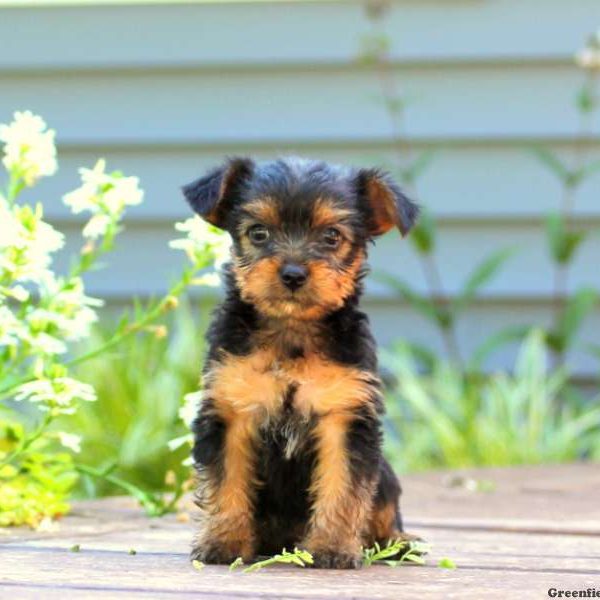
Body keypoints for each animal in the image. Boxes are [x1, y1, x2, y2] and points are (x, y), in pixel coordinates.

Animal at [182, 157, 418, 568]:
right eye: (259, 233)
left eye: (331, 237)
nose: (293, 273)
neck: (291, 332)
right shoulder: (230, 411)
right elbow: (226, 481)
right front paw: (224, 543)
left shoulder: (344, 416)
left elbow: (343, 487)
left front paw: (332, 548)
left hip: (385, 472)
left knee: (384, 506)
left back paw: (396, 542)